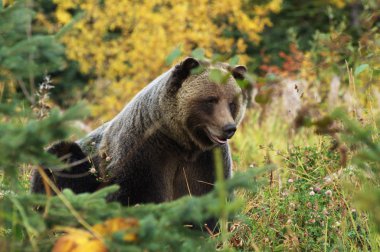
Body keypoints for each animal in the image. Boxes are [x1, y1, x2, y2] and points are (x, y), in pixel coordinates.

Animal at [30, 57, 249, 209]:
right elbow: (132, 196)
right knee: (62, 158)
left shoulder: (206, 160)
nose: (229, 128)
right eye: (210, 100)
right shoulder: (144, 153)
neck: (180, 141)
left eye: (232, 102)